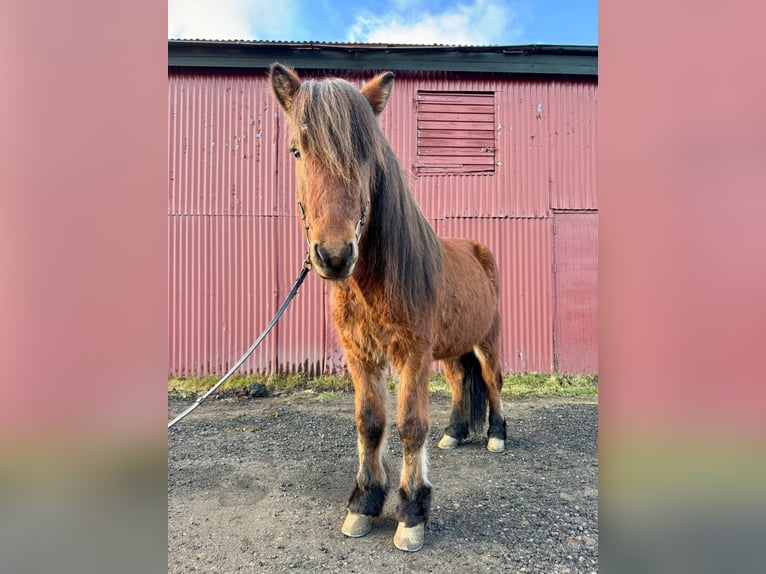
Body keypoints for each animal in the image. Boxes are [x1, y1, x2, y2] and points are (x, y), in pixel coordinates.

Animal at [269, 63, 507, 552]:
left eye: (366, 154)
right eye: (296, 150)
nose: (334, 254)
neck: (373, 285)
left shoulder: (412, 355)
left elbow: (410, 425)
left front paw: (412, 512)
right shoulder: (361, 357)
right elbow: (370, 423)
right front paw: (364, 502)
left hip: (486, 341)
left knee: (492, 382)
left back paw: (497, 436)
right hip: (452, 352)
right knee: (461, 384)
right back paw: (455, 434)